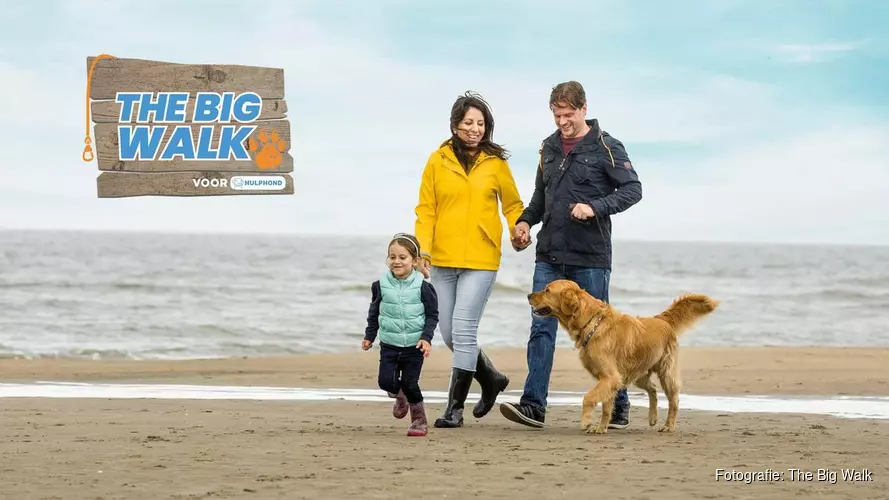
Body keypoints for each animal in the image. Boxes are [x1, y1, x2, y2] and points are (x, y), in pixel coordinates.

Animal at [528, 280, 716, 436]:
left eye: (547, 290)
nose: (528, 295)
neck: (591, 323)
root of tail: (662, 320)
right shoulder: (609, 380)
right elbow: (606, 407)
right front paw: (601, 428)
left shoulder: (611, 377)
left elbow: (588, 398)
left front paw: (587, 422)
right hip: (638, 374)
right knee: (653, 389)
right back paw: (652, 417)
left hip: (666, 372)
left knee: (673, 400)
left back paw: (668, 425)